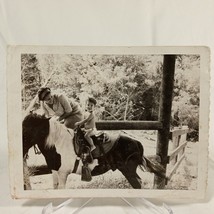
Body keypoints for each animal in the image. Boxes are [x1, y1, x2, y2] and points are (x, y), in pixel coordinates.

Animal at [22, 112, 166, 189]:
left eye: (28, 129)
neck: (58, 143)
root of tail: (137, 142)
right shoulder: (55, 172)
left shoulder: (63, 173)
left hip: (128, 171)